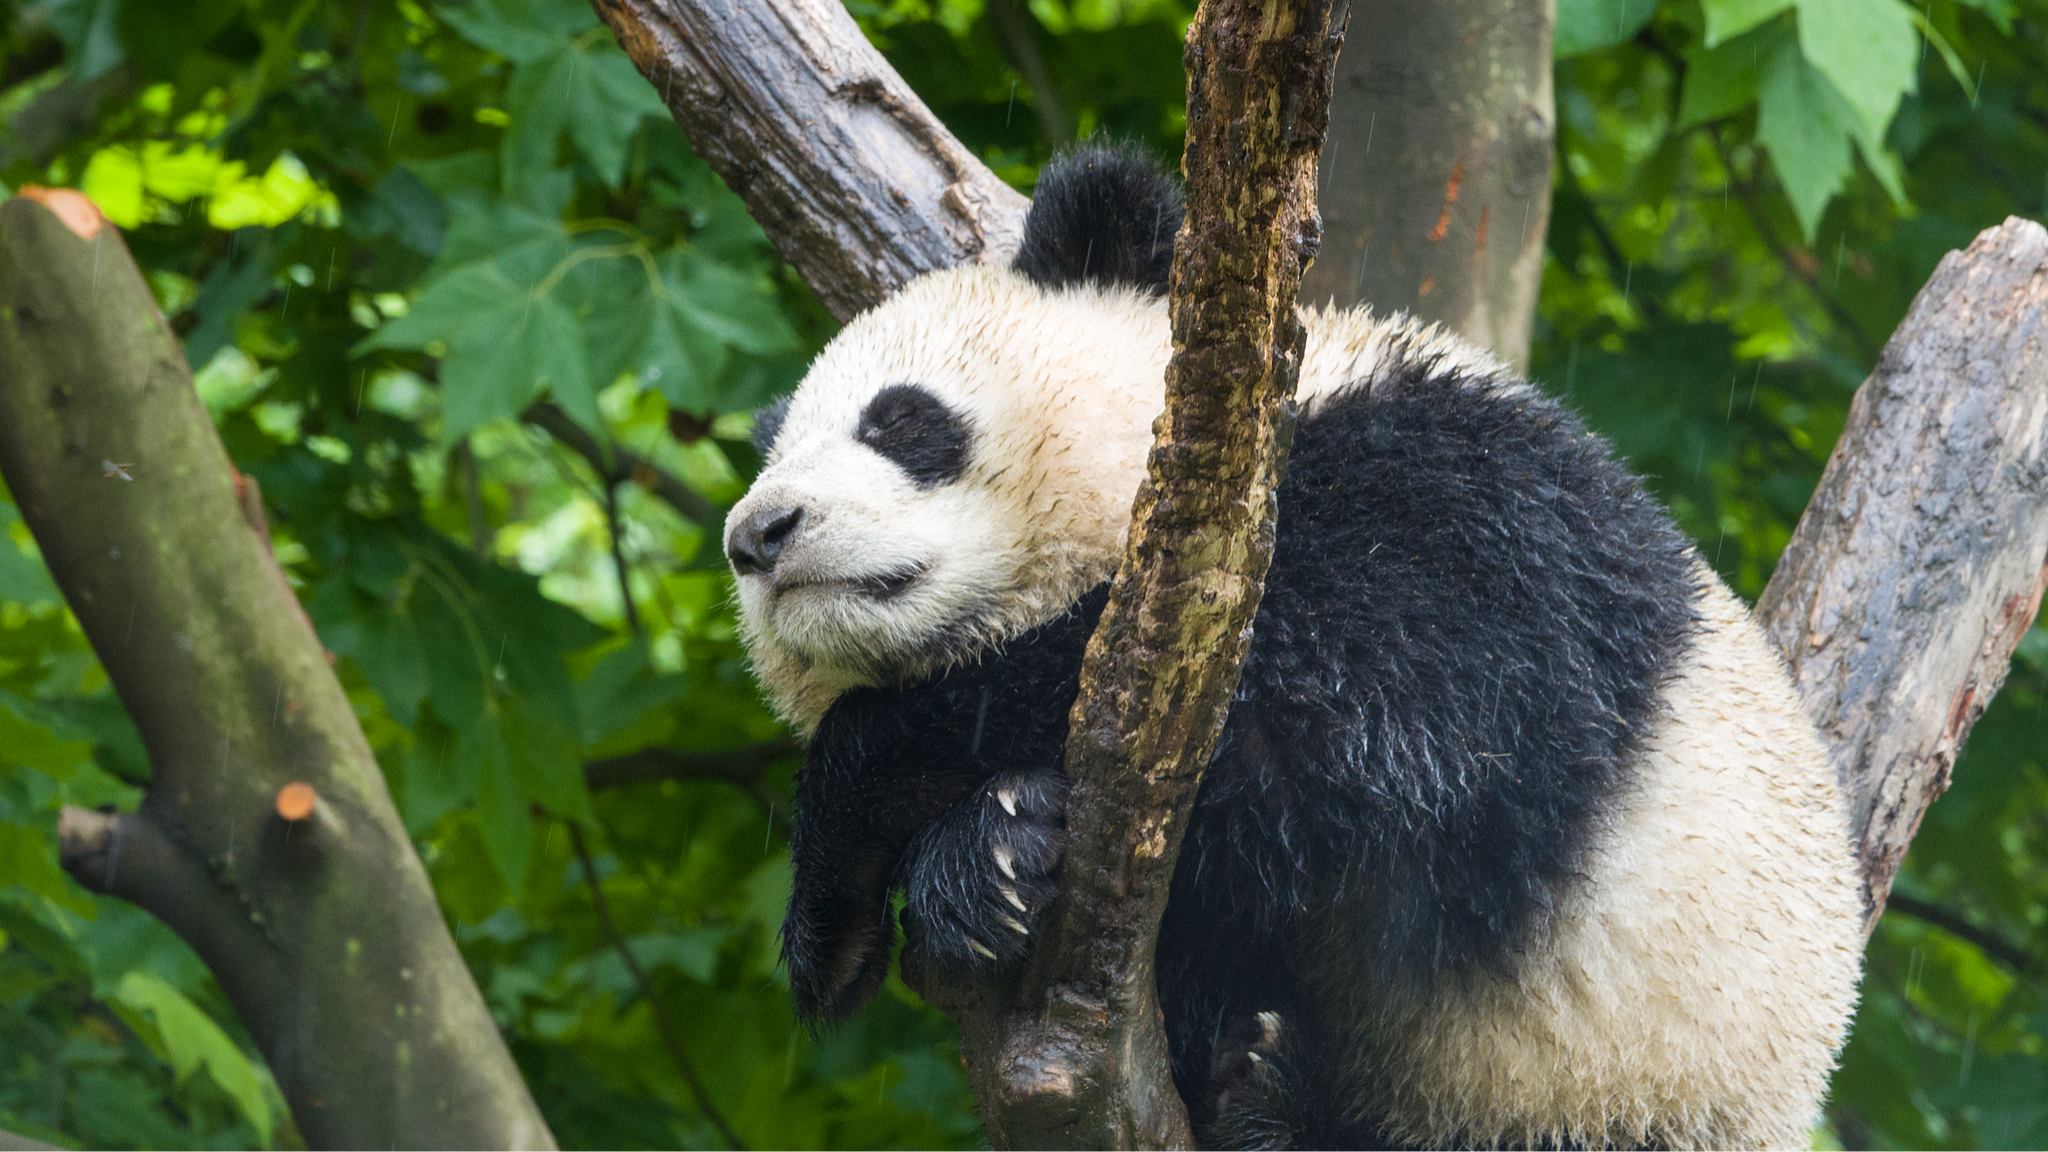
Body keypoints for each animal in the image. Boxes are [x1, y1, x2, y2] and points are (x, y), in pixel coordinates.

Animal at [723, 145, 1864, 1152]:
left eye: (901, 422)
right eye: (773, 462)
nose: (756, 534)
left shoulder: (1462, 506)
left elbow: (1348, 719)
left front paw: (870, 838)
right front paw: (978, 866)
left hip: (1613, 1088)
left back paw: (1273, 1094)